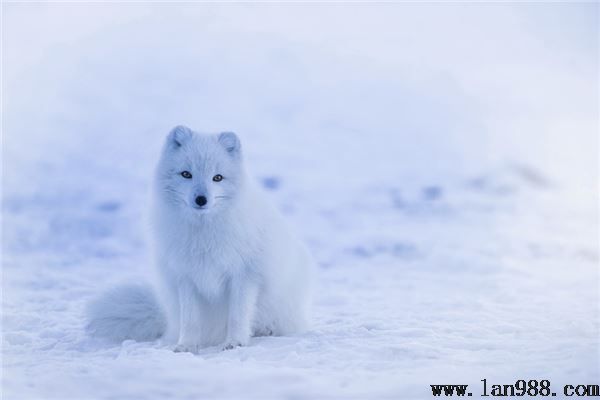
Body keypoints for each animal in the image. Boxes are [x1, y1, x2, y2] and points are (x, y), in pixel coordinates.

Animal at [88, 126, 316, 352]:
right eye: (186, 174)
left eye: (218, 178)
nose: (201, 199)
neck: (203, 233)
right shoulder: (185, 276)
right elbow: (190, 319)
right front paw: (186, 346)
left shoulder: (244, 275)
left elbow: (238, 315)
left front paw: (235, 342)